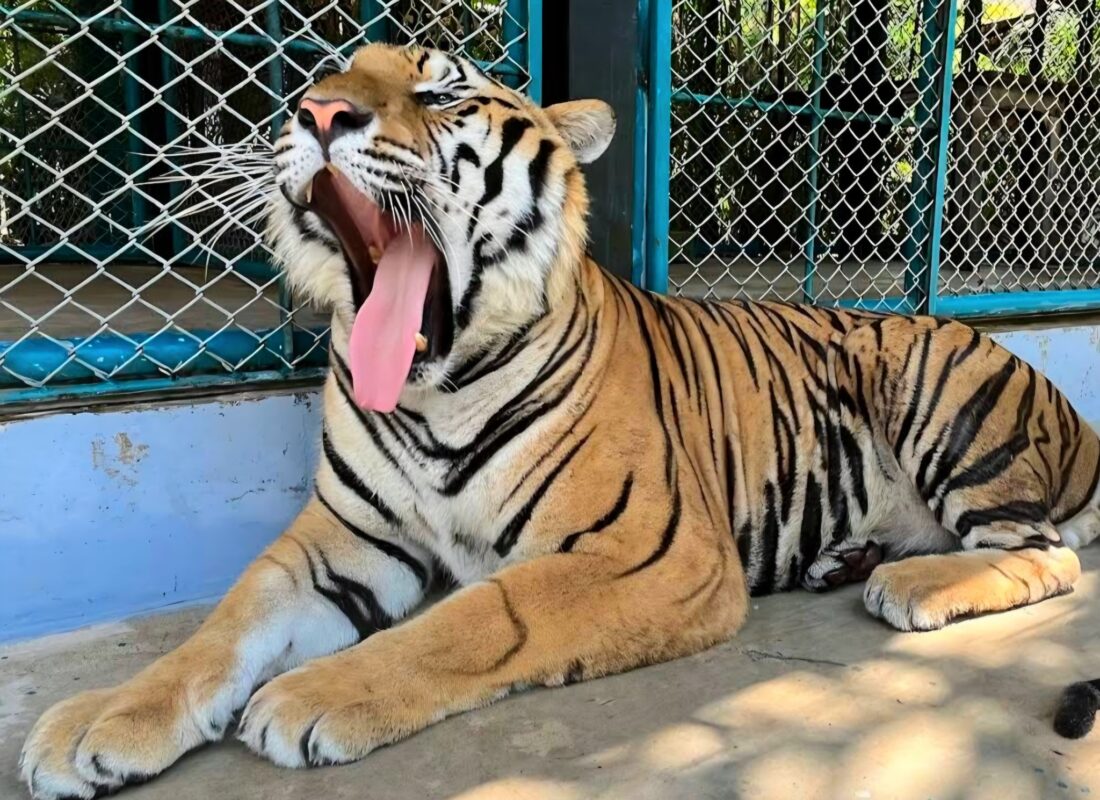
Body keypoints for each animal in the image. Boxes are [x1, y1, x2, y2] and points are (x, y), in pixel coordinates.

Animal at [20, 43, 1100, 799]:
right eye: (326, 77)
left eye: (441, 94)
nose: (316, 112)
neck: (432, 389)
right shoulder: (344, 537)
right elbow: (224, 624)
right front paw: (97, 723)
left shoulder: (651, 550)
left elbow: (480, 616)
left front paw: (308, 696)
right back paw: (853, 557)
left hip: (937, 389)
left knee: (1045, 554)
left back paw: (906, 583)